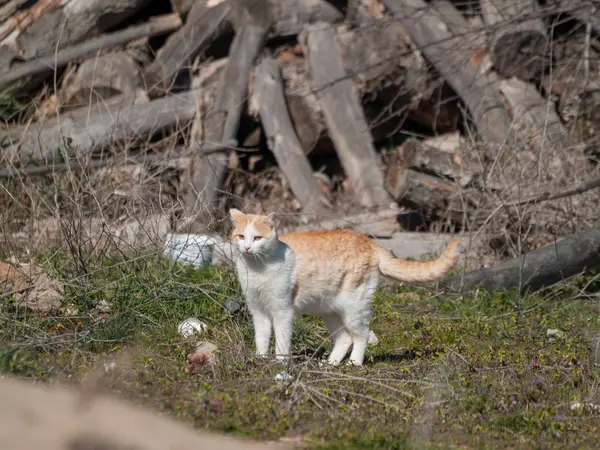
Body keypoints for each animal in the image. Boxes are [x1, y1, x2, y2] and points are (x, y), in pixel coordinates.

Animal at [230, 209, 460, 368]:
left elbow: (282, 341)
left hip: (354, 308)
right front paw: (260, 360)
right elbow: (261, 337)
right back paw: (331, 364)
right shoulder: (258, 311)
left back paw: (354, 364)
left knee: (362, 335)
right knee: (344, 338)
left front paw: (280, 363)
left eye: (257, 238)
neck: (258, 269)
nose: (247, 248)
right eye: (241, 236)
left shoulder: (282, 312)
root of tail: (370, 241)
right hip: (330, 311)